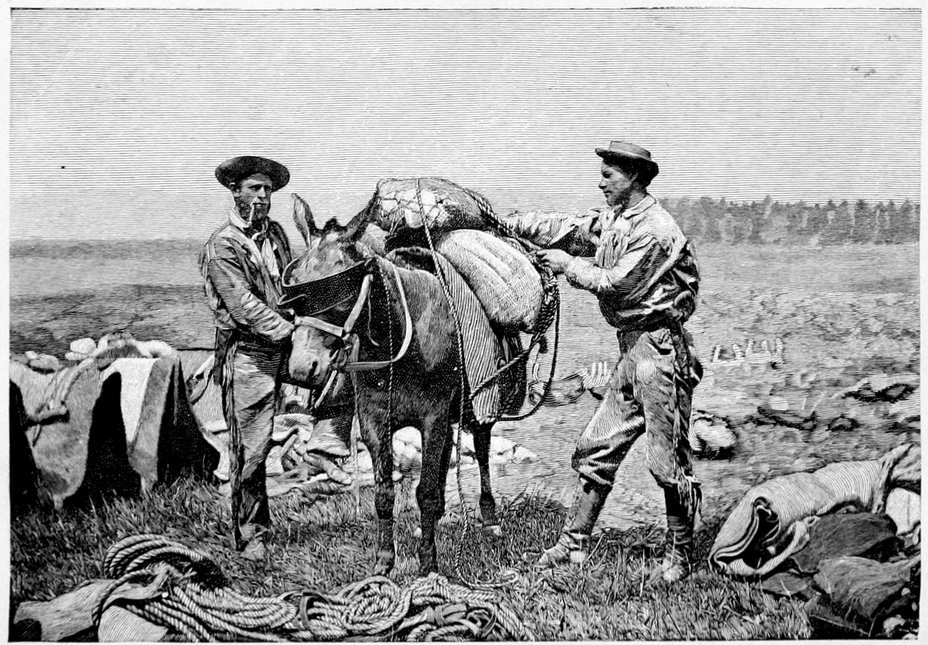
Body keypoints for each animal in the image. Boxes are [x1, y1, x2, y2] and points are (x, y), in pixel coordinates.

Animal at [281, 194, 507, 575]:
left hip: (476, 408)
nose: (301, 369)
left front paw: (428, 562)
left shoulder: (433, 418)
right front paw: (384, 562)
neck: (402, 339)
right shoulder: (375, 423)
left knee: (482, 448)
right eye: (295, 280)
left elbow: (425, 491)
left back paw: (489, 518)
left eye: (340, 284)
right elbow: (385, 493)